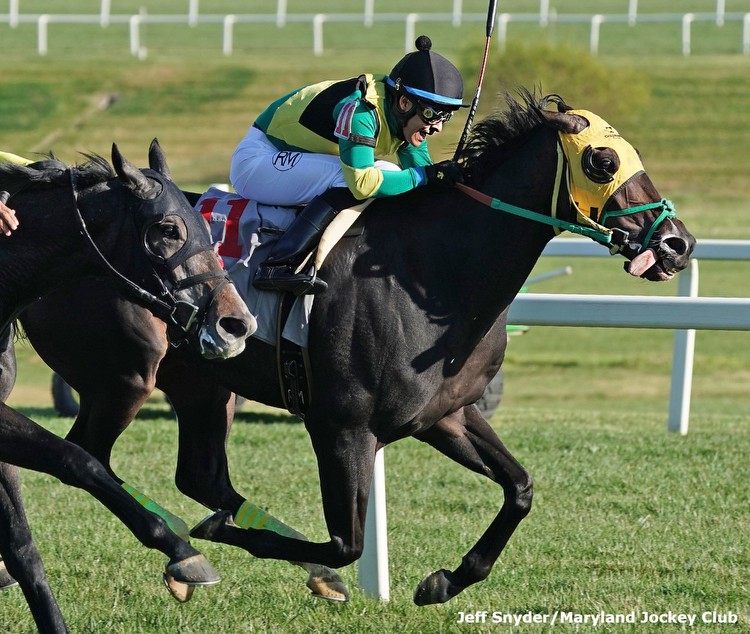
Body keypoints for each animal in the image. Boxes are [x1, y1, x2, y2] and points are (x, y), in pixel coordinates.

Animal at [0, 141, 256, 628]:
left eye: (206, 228)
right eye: (167, 229)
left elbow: (23, 548)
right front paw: (181, 551)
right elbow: (78, 460)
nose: (236, 324)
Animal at [19, 92, 700, 604]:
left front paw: (445, 581)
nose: (677, 243)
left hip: (206, 383)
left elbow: (521, 489)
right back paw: (184, 551)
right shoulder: (341, 425)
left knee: (199, 475)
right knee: (87, 456)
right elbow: (349, 542)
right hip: (126, 377)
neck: (433, 272)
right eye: (603, 161)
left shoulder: (445, 415)